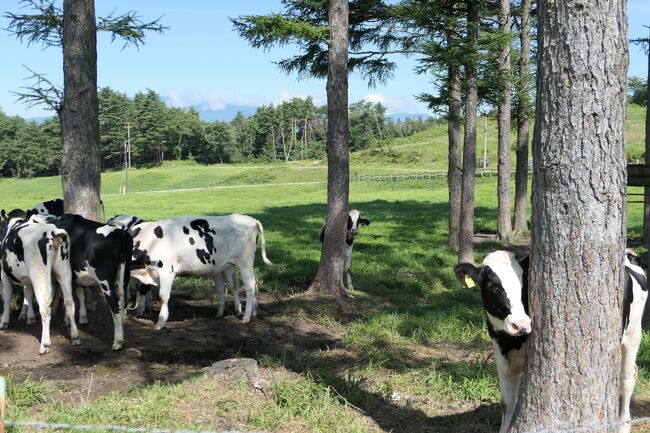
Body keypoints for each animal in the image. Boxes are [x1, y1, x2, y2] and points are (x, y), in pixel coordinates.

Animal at [0, 211, 79, 352]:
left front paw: (5, 321)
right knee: (70, 302)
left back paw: (45, 344)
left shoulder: (4, 274)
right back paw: (75, 337)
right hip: (64, 271)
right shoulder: (29, 279)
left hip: (39, 275)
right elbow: (28, 294)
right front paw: (30, 317)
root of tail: (52, 231)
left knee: (45, 307)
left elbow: (7, 297)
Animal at [52, 214, 133, 350]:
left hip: (105, 279)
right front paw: (80, 317)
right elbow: (79, 293)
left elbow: (68, 301)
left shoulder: (63, 274)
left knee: (114, 303)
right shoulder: (76, 276)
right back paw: (122, 333)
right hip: (124, 273)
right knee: (123, 300)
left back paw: (117, 342)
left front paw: (74, 335)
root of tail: (121, 233)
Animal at [105, 213, 276, 328]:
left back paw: (246, 316)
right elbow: (142, 290)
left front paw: (160, 322)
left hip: (244, 262)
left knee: (249, 286)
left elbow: (163, 297)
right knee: (249, 284)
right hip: (231, 265)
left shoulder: (166, 271)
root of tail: (253, 220)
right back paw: (248, 312)